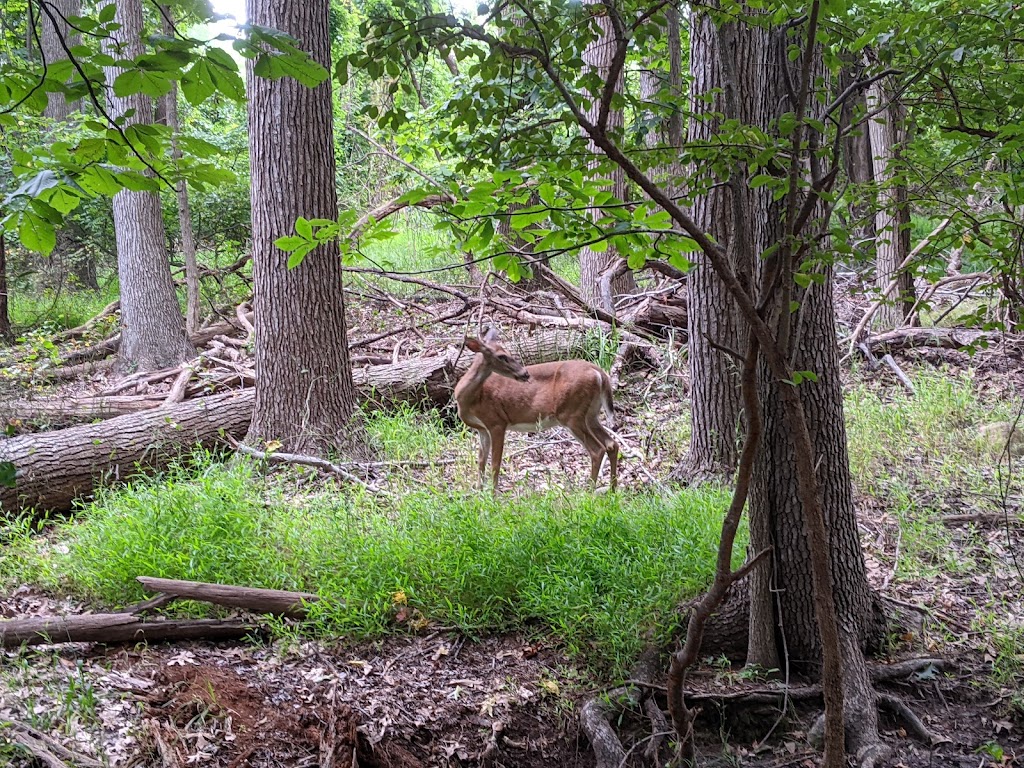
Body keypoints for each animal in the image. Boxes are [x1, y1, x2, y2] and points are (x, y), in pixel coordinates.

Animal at [454, 327, 614, 489]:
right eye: (502, 356)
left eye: (508, 353)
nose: (525, 373)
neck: (471, 399)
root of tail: (599, 372)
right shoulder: (482, 428)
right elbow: (481, 460)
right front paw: (479, 490)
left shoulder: (497, 422)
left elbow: (495, 463)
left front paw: (493, 493)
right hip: (591, 413)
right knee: (611, 444)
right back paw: (612, 488)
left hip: (571, 413)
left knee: (597, 449)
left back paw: (590, 490)